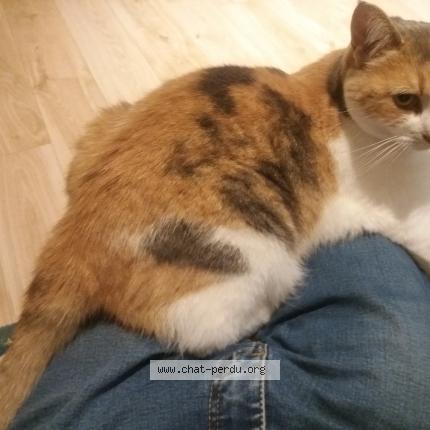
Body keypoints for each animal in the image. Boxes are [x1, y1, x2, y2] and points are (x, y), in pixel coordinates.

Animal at [1, 1, 430, 427]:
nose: (428, 135)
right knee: (206, 331)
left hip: (105, 123)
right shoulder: (404, 214)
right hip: (257, 256)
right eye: (405, 100)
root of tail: (76, 229)